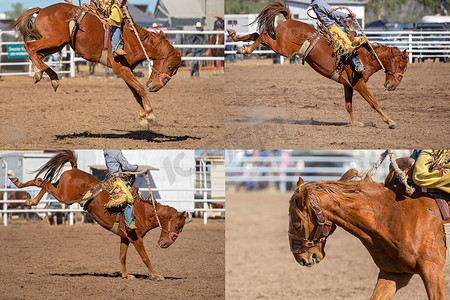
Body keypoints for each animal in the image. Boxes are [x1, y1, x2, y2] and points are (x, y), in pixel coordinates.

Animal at [10, 2, 181, 129]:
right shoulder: (121, 69)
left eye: (173, 71)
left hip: (56, 43)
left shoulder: (127, 70)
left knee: (37, 54)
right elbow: (140, 89)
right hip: (54, 40)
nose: (153, 86)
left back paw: (48, 75)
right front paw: (151, 116)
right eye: (169, 67)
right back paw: (42, 72)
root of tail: (42, 9)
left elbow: (136, 93)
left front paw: (143, 120)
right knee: (29, 47)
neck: (133, 40)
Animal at [10, 151, 186, 280]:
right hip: (64, 196)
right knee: (44, 183)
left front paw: (126, 275)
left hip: (60, 188)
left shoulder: (124, 237)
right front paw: (156, 276)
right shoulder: (135, 237)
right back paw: (29, 197)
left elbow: (122, 256)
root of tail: (74, 169)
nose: (165, 244)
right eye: (177, 226)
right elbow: (145, 257)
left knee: (41, 181)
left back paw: (20, 186)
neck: (143, 212)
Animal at [229, 2, 408, 129]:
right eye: (400, 67)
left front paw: (355, 123)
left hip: (279, 43)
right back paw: (245, 48)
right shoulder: (359, 84)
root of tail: (290, 19)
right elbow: (374, 103)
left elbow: (348, 105)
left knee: (256, 34)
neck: (366, 58)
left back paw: (237, 39)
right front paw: (391, 122)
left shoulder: (348, 85)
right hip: (282, 48)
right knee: (264, 35)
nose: (391, 86)